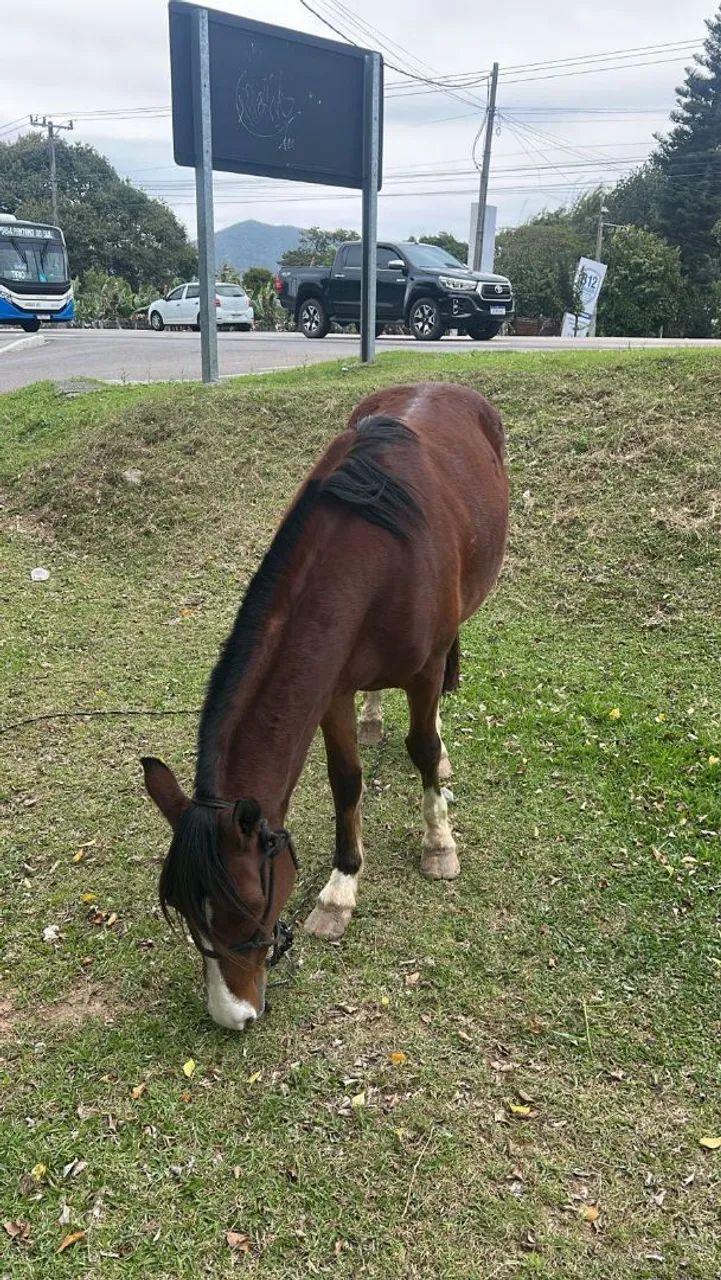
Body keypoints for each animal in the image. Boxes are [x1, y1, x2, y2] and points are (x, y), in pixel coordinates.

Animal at [142, 381, 508, 1030]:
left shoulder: (424, 669)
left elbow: (421, 747)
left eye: (251, 907)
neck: (373, 558)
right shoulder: (330, 687)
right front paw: (341, 888)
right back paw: (374, 718)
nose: (232, 1016)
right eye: (188, 912)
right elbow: (345, 779)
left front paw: (438, 841)